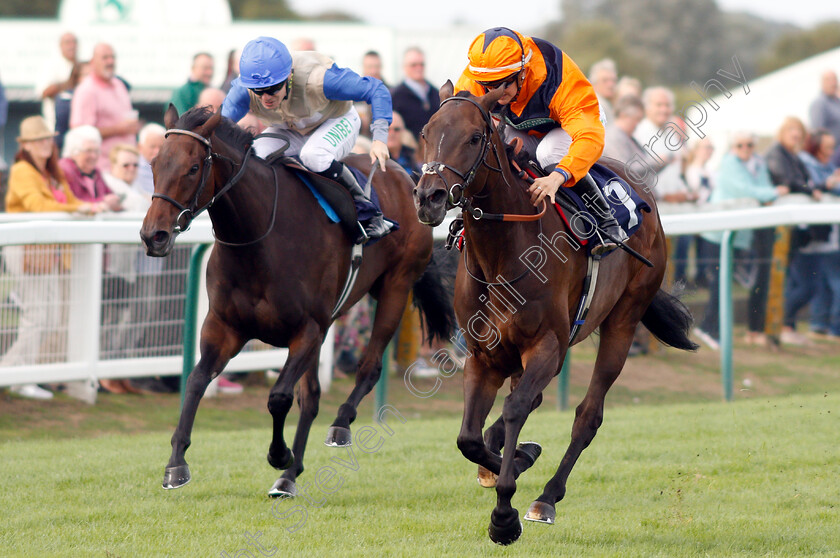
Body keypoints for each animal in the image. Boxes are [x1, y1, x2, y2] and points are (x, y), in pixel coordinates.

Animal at [139, 106, 452, 498]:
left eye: (193, 168)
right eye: (154, 163)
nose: (154, 235)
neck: (260, 238)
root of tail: (406, 173)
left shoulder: (307, 329)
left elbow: (279, 397)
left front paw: (279, 454)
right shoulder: (224, 327)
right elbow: (196, 381)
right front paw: (176, 464)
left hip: (396, 287)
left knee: (368, 367)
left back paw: (338, 426)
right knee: (313, 396)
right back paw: (289, 477)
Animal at [412, 85, 696, 544]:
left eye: (474, 138)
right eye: (426, 132)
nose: (428, 197)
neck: (503, 254)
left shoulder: (547, 345)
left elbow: (516, 409)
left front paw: (504, 514)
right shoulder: (483, 354)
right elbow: (468, 437)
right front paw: (512, 458)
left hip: (623, 319)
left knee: (587, 415)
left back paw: (546, 498)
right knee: (528, 402)